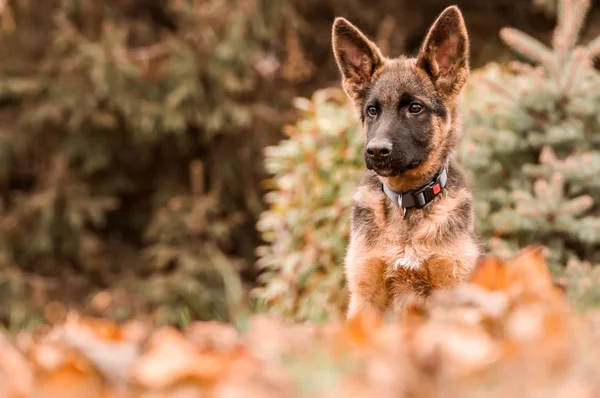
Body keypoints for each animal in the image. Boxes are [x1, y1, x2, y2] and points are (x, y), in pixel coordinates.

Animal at [332, 5, 482, 320]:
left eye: (415, 108)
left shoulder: (451, 287)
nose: (376, 151)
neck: (407, 204)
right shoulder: (365, 294)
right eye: (372, 111)